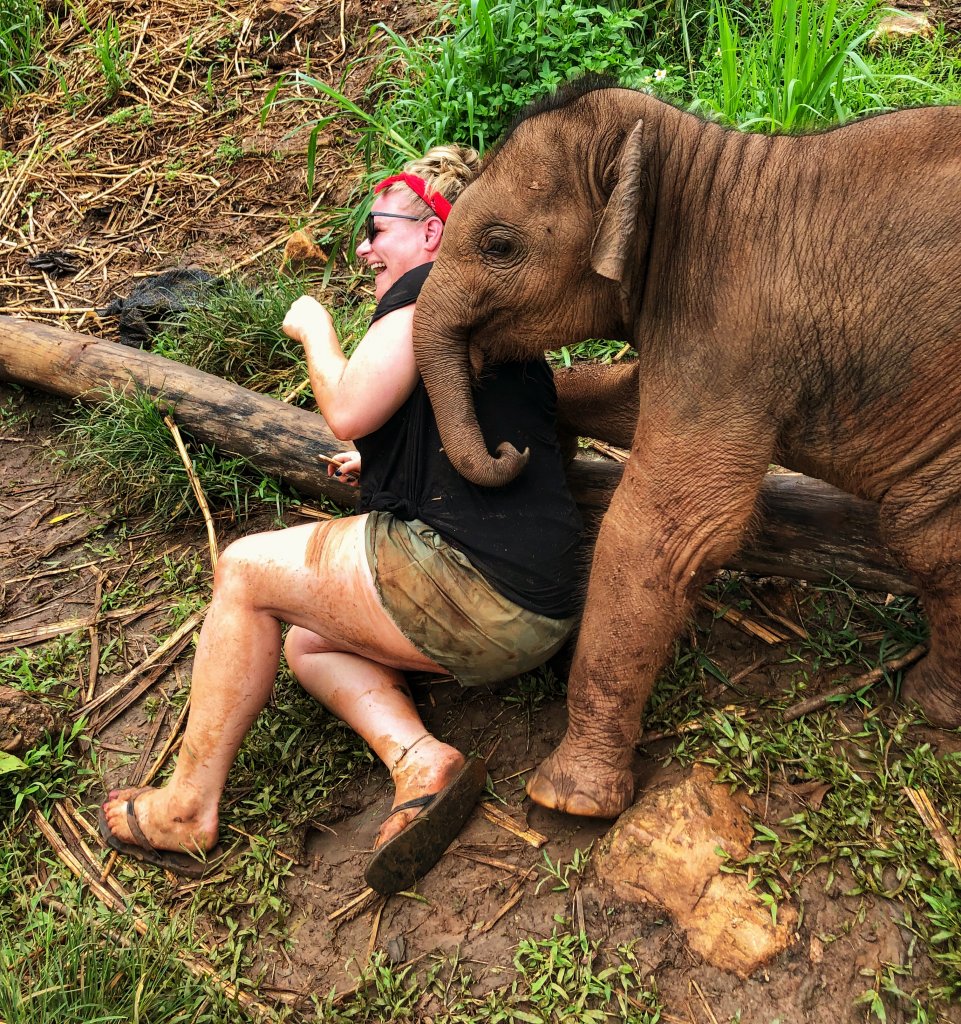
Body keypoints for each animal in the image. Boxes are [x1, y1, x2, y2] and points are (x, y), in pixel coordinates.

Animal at [411, 77, 958, 815]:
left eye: (499, 245)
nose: (507, 451)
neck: (699, 159)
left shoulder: (731, 334)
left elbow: (665, 529)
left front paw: (567, 799)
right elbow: (632, 396)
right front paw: (558, 436)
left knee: (922, 536)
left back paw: (929, 703)